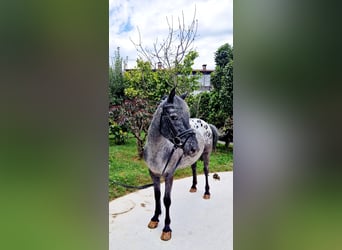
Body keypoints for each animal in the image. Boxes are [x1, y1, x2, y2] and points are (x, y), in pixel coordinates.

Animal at [143, 87, 218, 240]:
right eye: (173, 117)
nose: (193, 147)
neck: (158, 151)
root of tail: (206, 123)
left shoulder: (169, 175)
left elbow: (167, 200)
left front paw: (166, 228)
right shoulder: (154, 174)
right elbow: (157, 196)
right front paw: (155, 218)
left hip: (206, 155)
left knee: (206, 171)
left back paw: (207, 192)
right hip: (193, 158)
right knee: (194, 168)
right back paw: (193, 187)